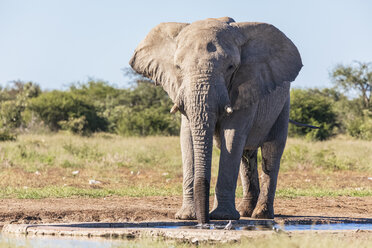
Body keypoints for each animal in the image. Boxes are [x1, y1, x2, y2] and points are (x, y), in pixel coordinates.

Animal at [130, 16, 302, 224]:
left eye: (231, 67)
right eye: (178, 67)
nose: (204, 222)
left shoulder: (246, 85)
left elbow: (232, 135)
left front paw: (222, 216)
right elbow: (187, 137)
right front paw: (186, 217)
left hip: (283, 103)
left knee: (272, 151)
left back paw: (261, 214)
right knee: (246, 155)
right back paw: (245, 212)